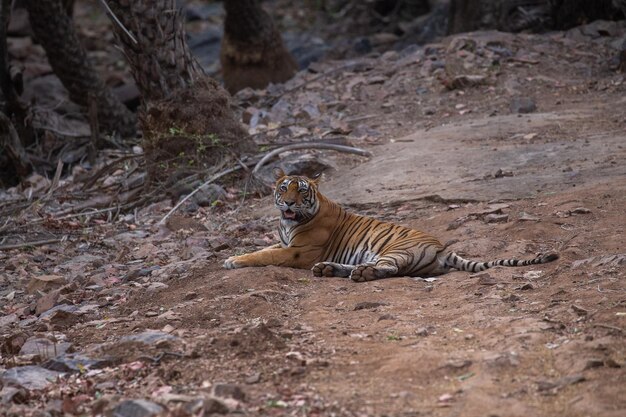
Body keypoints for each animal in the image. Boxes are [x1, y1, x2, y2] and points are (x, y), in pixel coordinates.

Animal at [223, 169, 556, 282]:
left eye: (301, 190)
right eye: (283, 188)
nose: (289, 204)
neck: (288, 222)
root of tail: (442, 248)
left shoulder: (298, 251)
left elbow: (263, 255)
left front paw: (232, 261)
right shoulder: (285, 243)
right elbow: (264, 248)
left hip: (396, 250)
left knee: (389, 269)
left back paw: (358, 274)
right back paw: (329, 269)